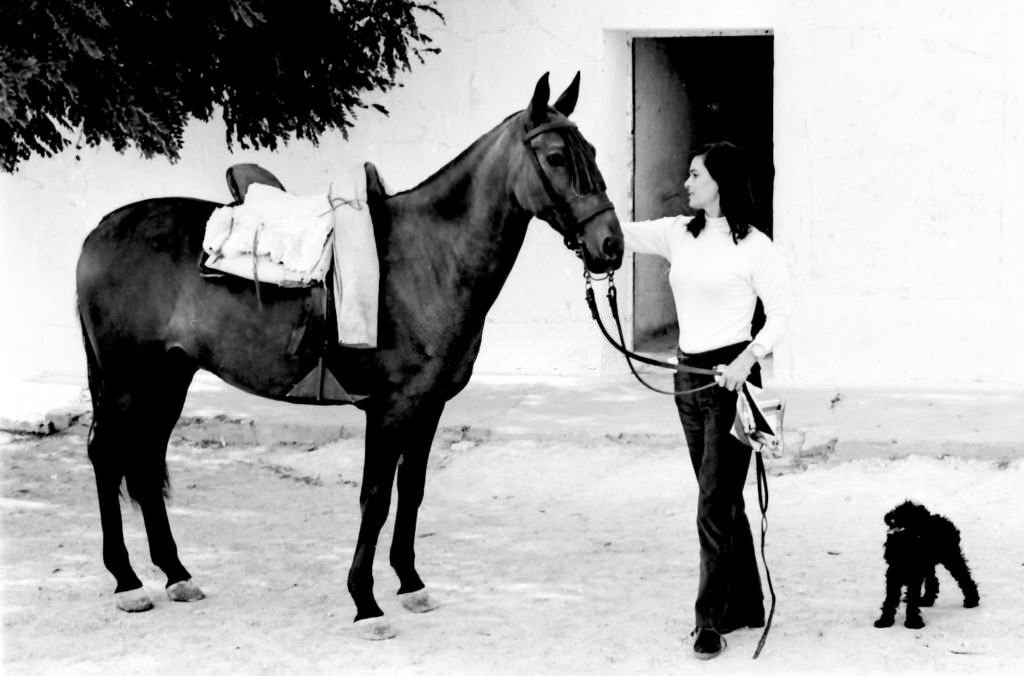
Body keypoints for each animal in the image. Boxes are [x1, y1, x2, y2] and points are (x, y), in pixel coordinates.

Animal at [74, 73, 622, 639]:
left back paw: (176, 574)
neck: (429, 258)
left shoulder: (428, 407)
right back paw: (127, 582)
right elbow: (375, 498)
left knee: (142, 462)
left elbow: (412, 490)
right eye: (555, 157)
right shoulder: (389, 409)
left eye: (591, 152)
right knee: (106, 456)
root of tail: (102, 231)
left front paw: (410, 582)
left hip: (168, 379)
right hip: (127, 382)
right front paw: (366, 602)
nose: (611, 246)